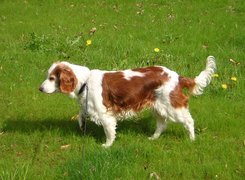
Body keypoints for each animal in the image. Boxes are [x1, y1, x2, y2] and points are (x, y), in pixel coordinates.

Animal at [39, 56, 215, 148]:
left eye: (52, 78)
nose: (40, 88)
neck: (86, 81)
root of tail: (177, 76)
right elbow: (81, 117)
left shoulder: (105, 114)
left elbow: (109, 132)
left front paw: (107, 146)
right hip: (158, 107)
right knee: (162, 124)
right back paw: (153, 138)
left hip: (172, 106)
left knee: (189, 121)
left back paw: (192, 139)